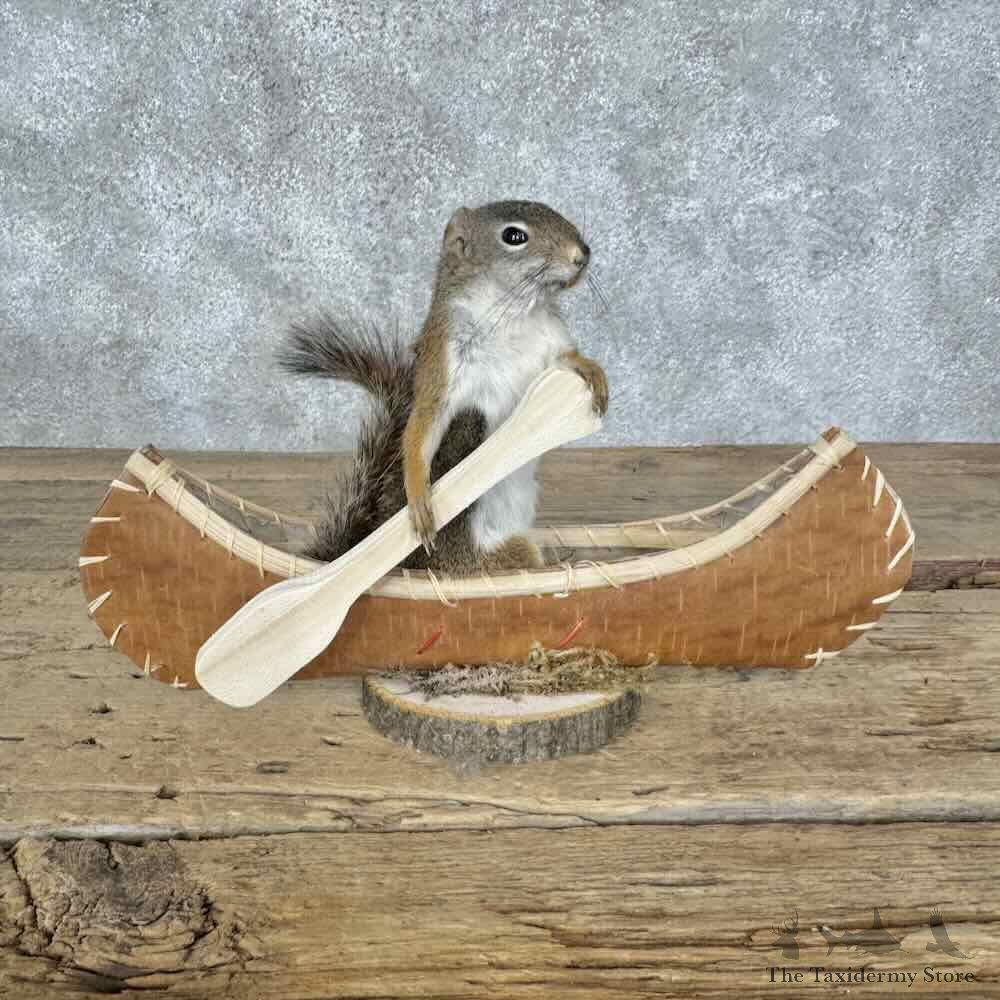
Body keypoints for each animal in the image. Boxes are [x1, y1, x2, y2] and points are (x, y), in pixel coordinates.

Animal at [279, 200, 608, 576]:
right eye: (514, 236)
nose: (582, 255)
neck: (512, 314)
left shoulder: (549, 342)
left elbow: (564, 359)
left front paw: (590, 368)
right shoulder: (443, 364)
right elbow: (424, 426)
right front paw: (418, 495)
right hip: (472, 460)